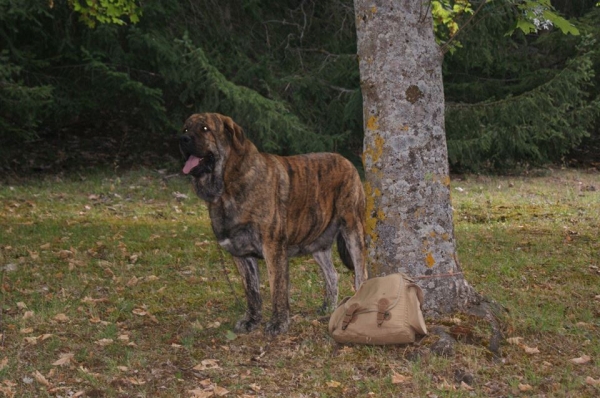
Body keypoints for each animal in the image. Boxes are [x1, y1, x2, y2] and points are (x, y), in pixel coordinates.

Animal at [179, 112, 366, 336]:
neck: (228, 186)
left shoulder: (273, 249)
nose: (182, 139)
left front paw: (278, 323)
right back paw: (328, 307)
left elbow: (277, 289)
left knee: (361, 273)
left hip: (352, 230)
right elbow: (252, 292)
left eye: (205, 129)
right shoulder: (241, 254)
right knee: (332, 274)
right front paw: (252, 320)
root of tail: (347, 161)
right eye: (186, 128)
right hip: (316, 243)